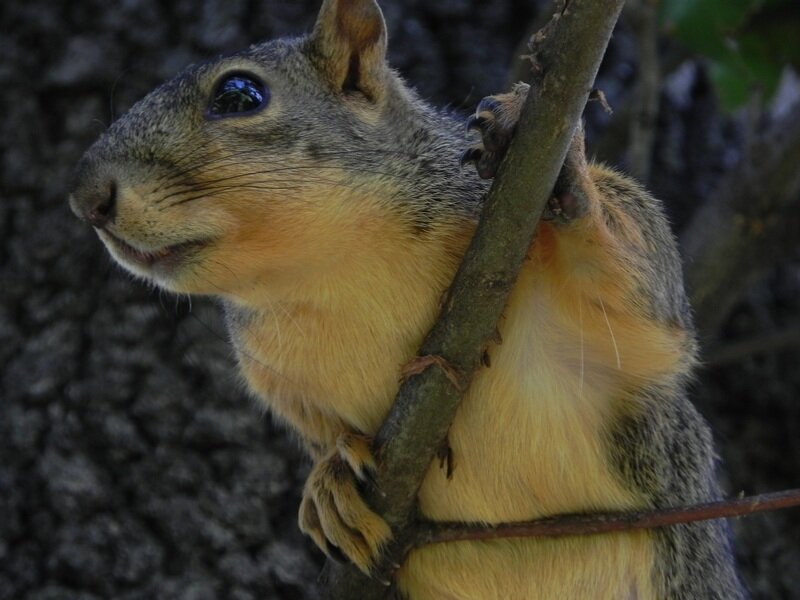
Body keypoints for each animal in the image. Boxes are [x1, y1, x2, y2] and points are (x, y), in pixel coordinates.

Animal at [69, 0, 745, 598]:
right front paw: (328, 480)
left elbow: (652, 314)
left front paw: (569, 180)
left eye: (239, 95)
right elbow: (318, 430)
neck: (337, 273)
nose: (86, 198)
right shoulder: (278, 374)